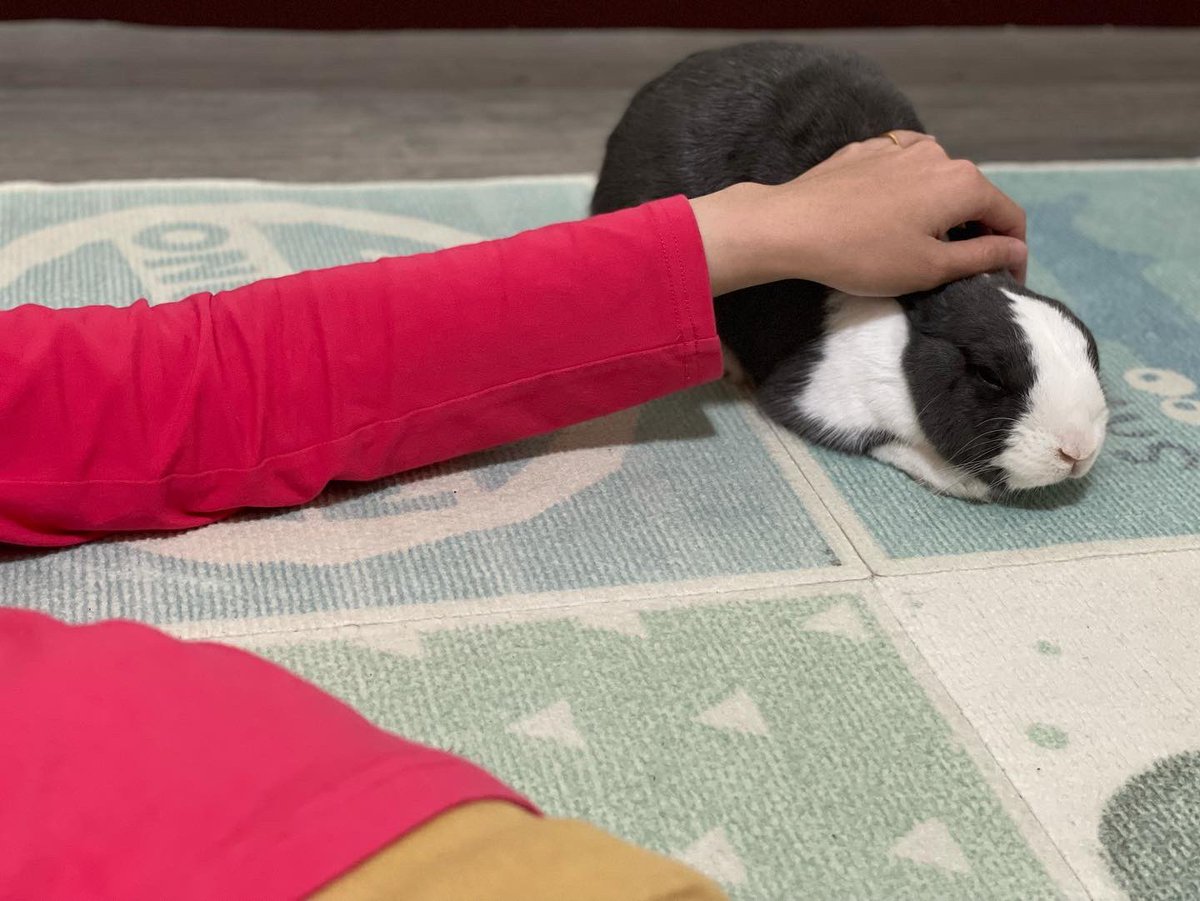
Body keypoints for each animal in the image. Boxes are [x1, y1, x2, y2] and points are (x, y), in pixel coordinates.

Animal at [592, 41, 1108, 500]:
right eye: (988, 376)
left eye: (1091, 351)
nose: (1076, 452)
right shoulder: (824, 398)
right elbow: (892, 445)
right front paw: (966, 483)